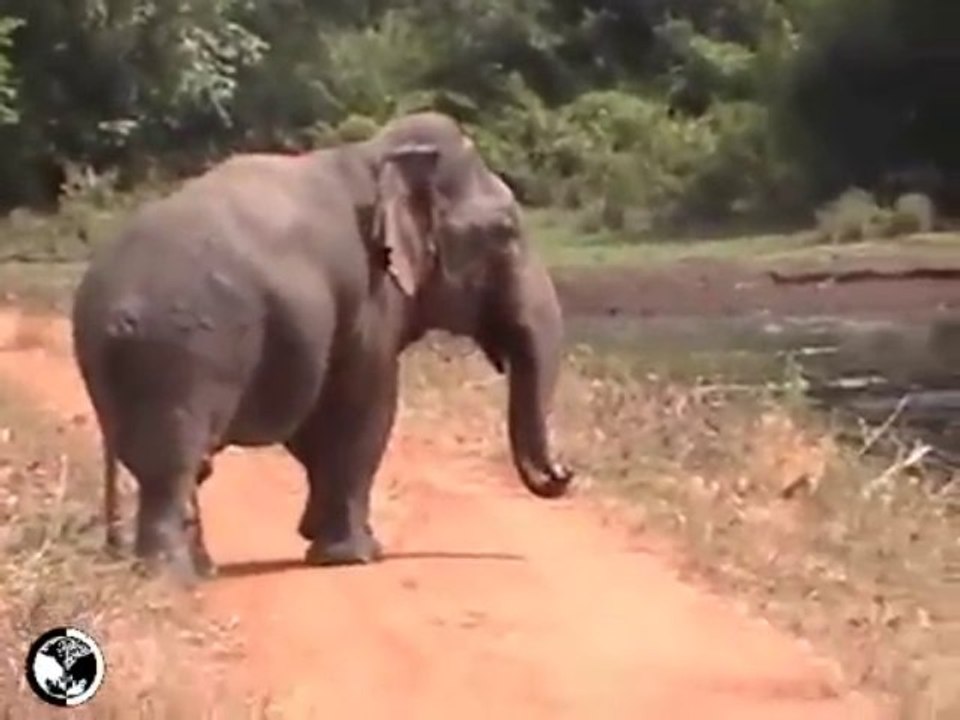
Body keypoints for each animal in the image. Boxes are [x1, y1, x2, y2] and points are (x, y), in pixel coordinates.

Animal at [70, 111, 574, 583]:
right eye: (506, 231)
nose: (564, 473)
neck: (377, 153)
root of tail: (109, 305)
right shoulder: (368, 297)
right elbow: (362, 411)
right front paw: (356, 557)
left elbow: (316, 424)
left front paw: (318, 536)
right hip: (182, 353)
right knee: (174, 462)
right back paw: (173, 580)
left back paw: (195, 570)